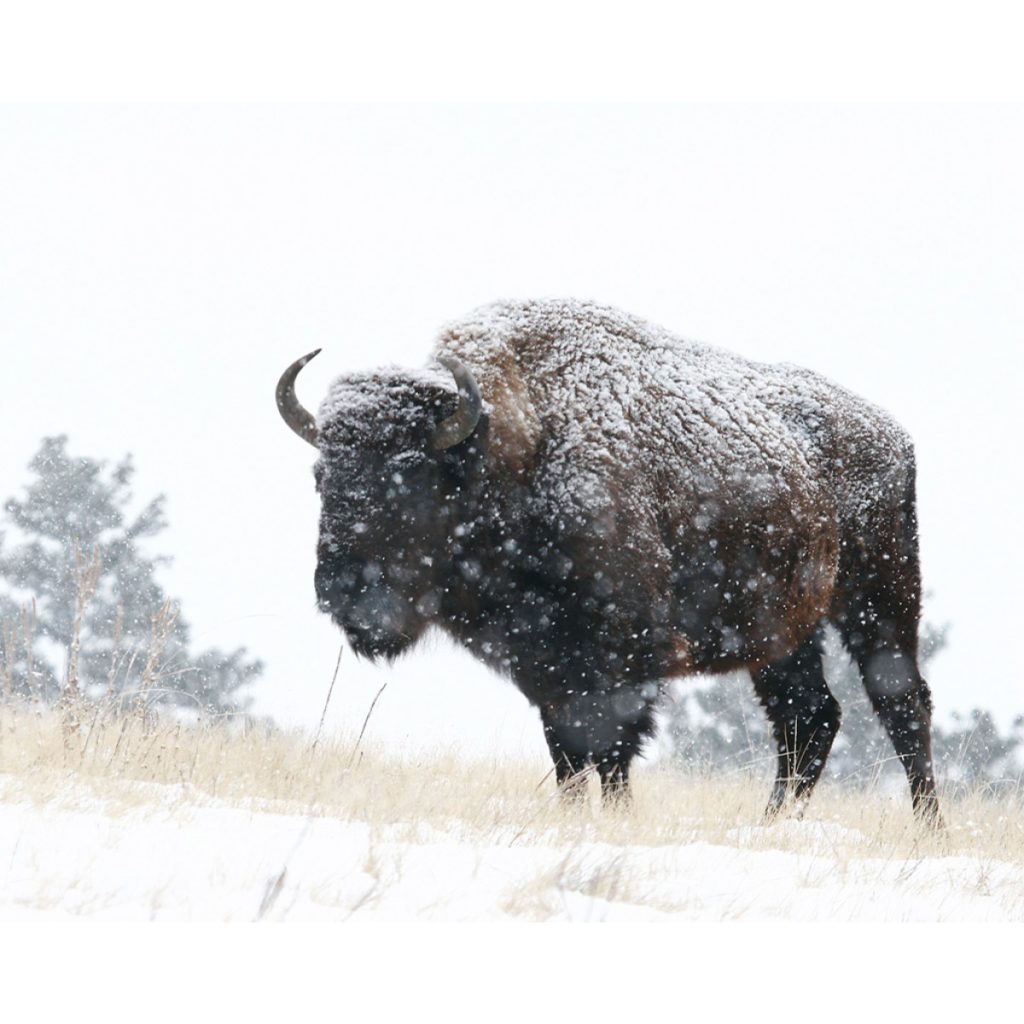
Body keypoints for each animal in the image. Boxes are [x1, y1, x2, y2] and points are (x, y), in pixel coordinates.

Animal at [276, 299, 937, 823]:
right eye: (322, 477)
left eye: (412, 479)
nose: (343, 593)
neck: (519, 451)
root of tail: (893, 435)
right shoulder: (546, 666)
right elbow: (567, 753)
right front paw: (573, 816)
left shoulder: (624, 657)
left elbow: (612, 749)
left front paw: (616, 818)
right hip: (782, 634)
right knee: (808, 718)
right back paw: (772, 821)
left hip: (881, 600)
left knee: (901, 703)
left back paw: (927, 825)